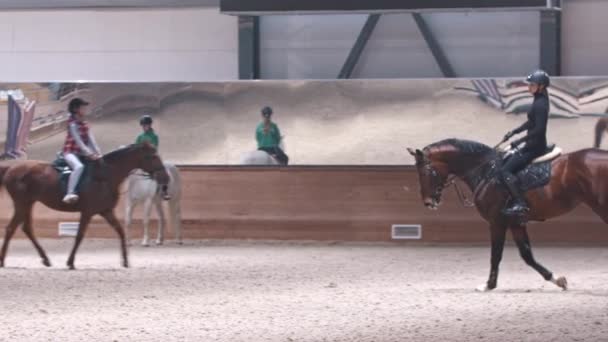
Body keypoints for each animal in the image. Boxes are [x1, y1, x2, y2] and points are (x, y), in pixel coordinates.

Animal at [0, 143, 169, 268]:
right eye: (152, 156)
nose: (165, 177)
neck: (104, 176)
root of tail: (11, 168)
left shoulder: (106, 211)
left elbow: (120, 231)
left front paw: (126, 261)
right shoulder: (87, 212)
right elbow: (80, 235)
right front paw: (70, 262)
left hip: (28, 204)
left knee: (25, 228)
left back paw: (45, 259)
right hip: (22, 204)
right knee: (11, 229)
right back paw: (3, 261)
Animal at [406, 138, 608, 292]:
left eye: (426, 171)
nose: (428, 202)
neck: (486, 171)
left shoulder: (497, 222)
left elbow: (495, 254)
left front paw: (488, 285)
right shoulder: (516, 223)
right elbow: (527, 255)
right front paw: (557, 280)